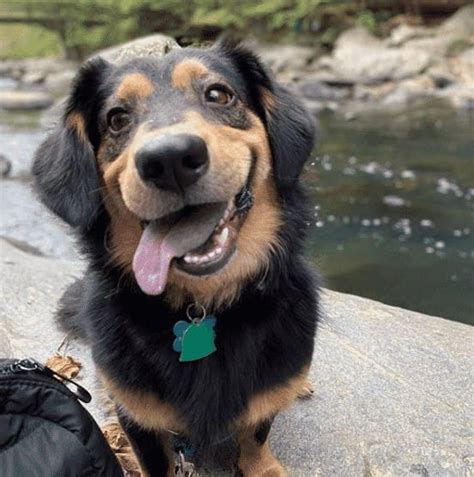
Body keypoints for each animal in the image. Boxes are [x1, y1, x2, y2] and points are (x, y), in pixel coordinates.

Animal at [32, 39, 318, 474]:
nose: (168, 160)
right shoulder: (140, 416)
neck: (203, 304)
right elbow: (158, 460)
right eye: (117, 118)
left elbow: (256, 432)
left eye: (218, 94)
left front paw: (262, 465)